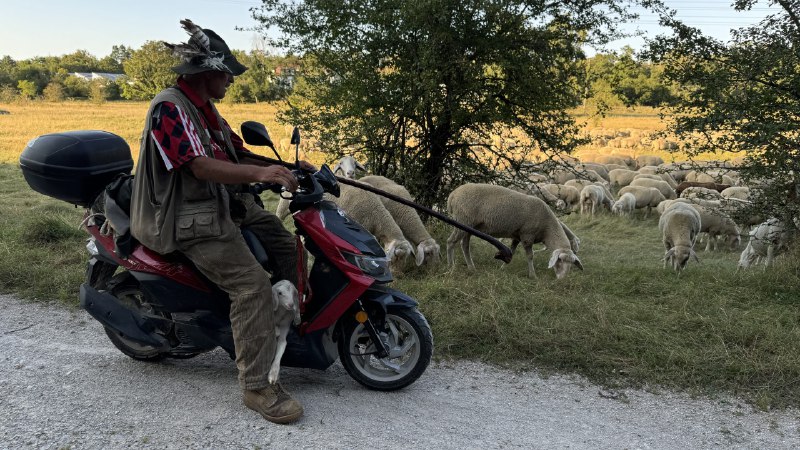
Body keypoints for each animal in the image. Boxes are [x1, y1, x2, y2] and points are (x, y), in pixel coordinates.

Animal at [446, 183, 584, 278]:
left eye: (571, 263)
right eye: (559, 260)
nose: (562, 279)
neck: (547, 229)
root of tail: (453, 195)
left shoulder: (517, 236)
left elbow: (511, 251)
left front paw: (502, 267)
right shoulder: (527, 236)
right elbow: (530, 256)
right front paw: (532, 275)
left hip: (469, 226)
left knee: (465, 245)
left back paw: (471, 267)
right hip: (463, 221)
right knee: (451, 242)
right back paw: (451, 267)